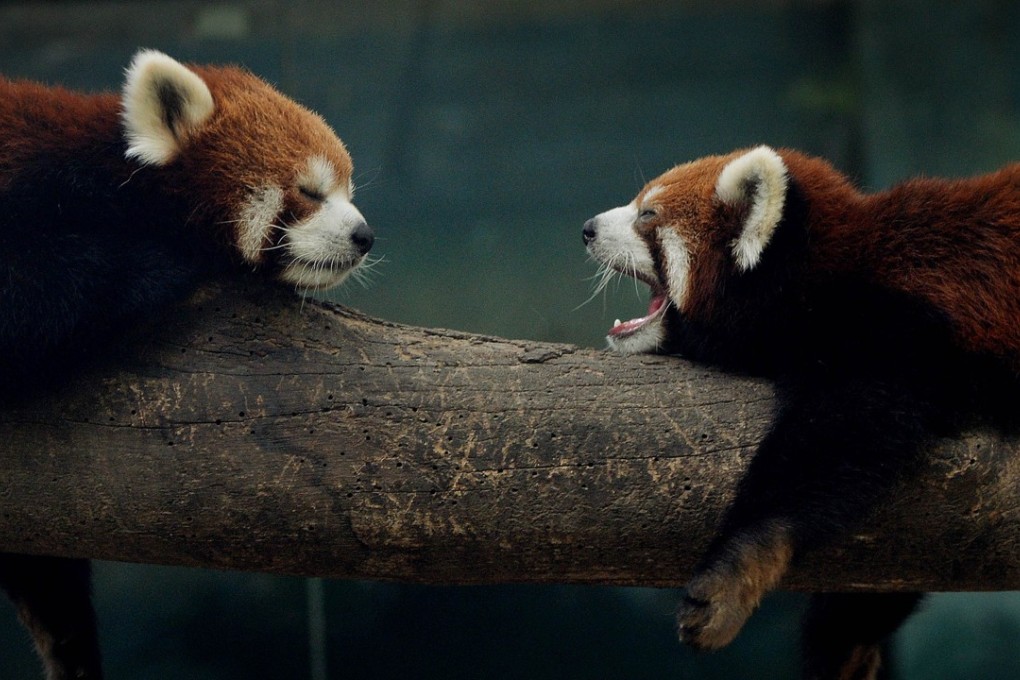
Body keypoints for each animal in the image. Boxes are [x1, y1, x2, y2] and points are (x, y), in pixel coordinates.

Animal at [0, 50, 374, 679]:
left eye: (346, 188)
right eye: (309, 191)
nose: (365, 235)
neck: (114, 185)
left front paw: (70, 647)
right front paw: (159, 264)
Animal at [583, 146, 1020, 679]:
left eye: (647, 214)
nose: (587, 228)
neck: (826, 277)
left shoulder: (896, 329)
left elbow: (835, 437)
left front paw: (734, 569)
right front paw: (844, 639)